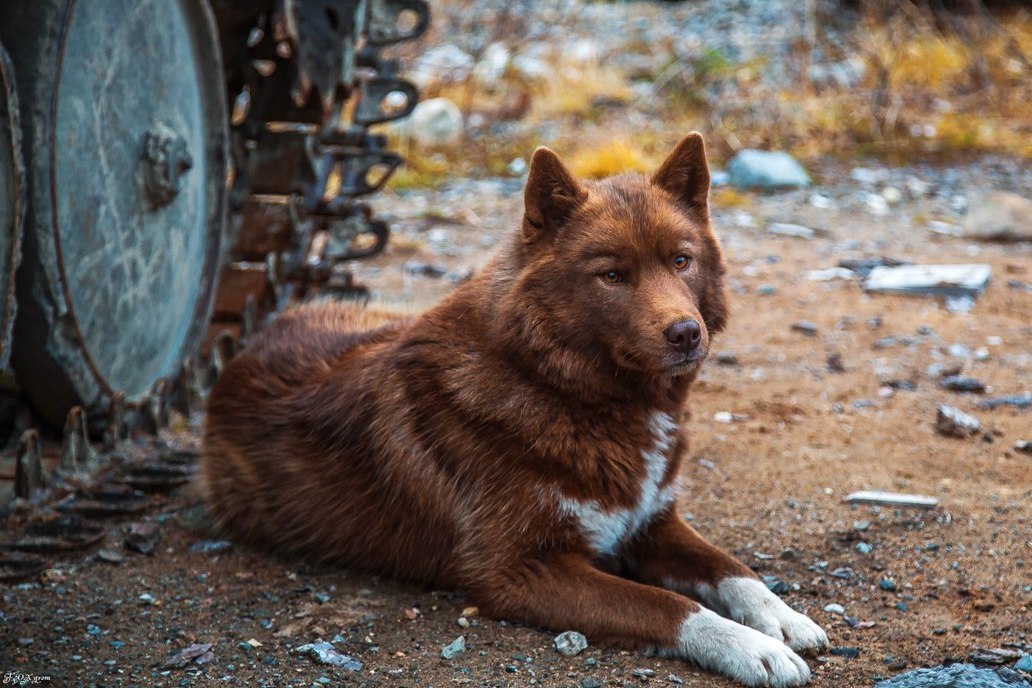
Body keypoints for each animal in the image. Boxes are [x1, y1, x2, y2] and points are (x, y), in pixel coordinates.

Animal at [199, 136, 829, 688]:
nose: (685, 333)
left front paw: (783, 619)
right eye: (612, 275)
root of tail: (248, 345)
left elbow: (734, 571)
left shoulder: (652, 524)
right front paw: (753, 650)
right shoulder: (518, 573)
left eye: (681, 261)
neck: (568, 393)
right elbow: (669, 606)